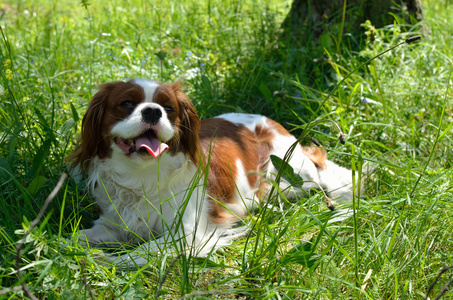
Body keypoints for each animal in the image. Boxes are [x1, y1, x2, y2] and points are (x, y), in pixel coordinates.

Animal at [68, 78, 356, 266]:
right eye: (126, 103)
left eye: (169, 108)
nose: (153, 111)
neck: (143, 176)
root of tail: (276, 125)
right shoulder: (112, 224)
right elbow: (76, 237)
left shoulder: (186, 235)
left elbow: (138, 255)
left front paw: (106, 260)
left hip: (290, 177)